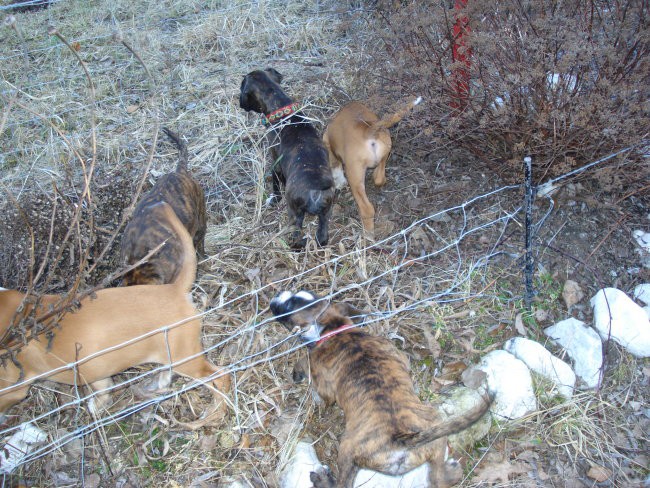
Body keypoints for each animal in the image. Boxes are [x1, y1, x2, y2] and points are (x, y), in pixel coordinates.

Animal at [0, 203, 230, 424]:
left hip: (187, 359)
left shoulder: (11, 388)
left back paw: (215, 412)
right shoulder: (93, 370)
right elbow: (103, 387)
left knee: (220, 377)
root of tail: (173, 289)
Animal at [270, 292, 492, 486]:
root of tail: (403, 440)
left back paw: (323, 480)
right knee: (437, 478)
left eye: (289, 306)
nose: (274, 299)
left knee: (342, 484)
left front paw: (299, 375)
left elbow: (306, 366)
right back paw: (452, 470)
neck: (337, 329)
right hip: (436, 433)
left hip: (347, 450)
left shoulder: (321, 378)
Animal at [322, 96, 420, 238]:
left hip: (354, 175)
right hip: (386, 150)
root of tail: (368, 130)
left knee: (367, 209)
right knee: (379, 178)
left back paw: (367, 236)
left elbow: (335, 166)